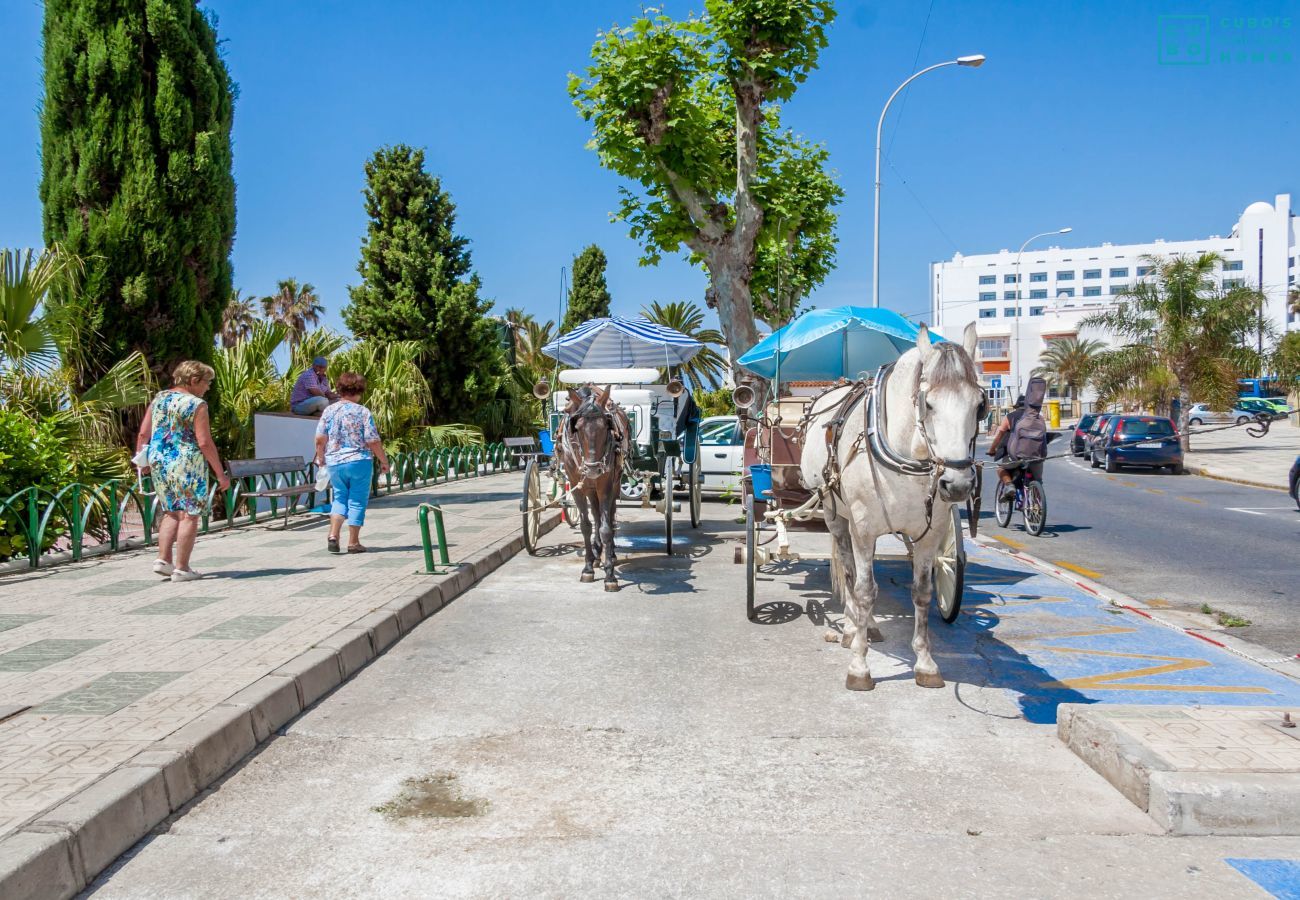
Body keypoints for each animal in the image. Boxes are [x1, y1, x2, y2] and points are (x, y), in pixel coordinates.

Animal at [556, 384, 626, 590]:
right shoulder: (577, 486)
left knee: (608, 516)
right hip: (589, 488)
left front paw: (610, 574)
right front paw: (587, 567)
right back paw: (596, 554)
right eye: (577, 428)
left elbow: (606, 528)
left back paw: (610, 553)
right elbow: (586, 525)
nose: (593, 469)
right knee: (595, 514)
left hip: (613, 484)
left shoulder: (606, 485)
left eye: (605, 426)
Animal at [795, 321, 977, 686]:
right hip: (835, 515)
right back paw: (852, 628)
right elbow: (865, 589)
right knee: (850, 571)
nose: (958, 485)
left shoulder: (931, 533)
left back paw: (869, 626)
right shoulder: (864, 529)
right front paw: (859, 665)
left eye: (980, 404)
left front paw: (925, 662)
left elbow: (922, 591)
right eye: (928, 404)